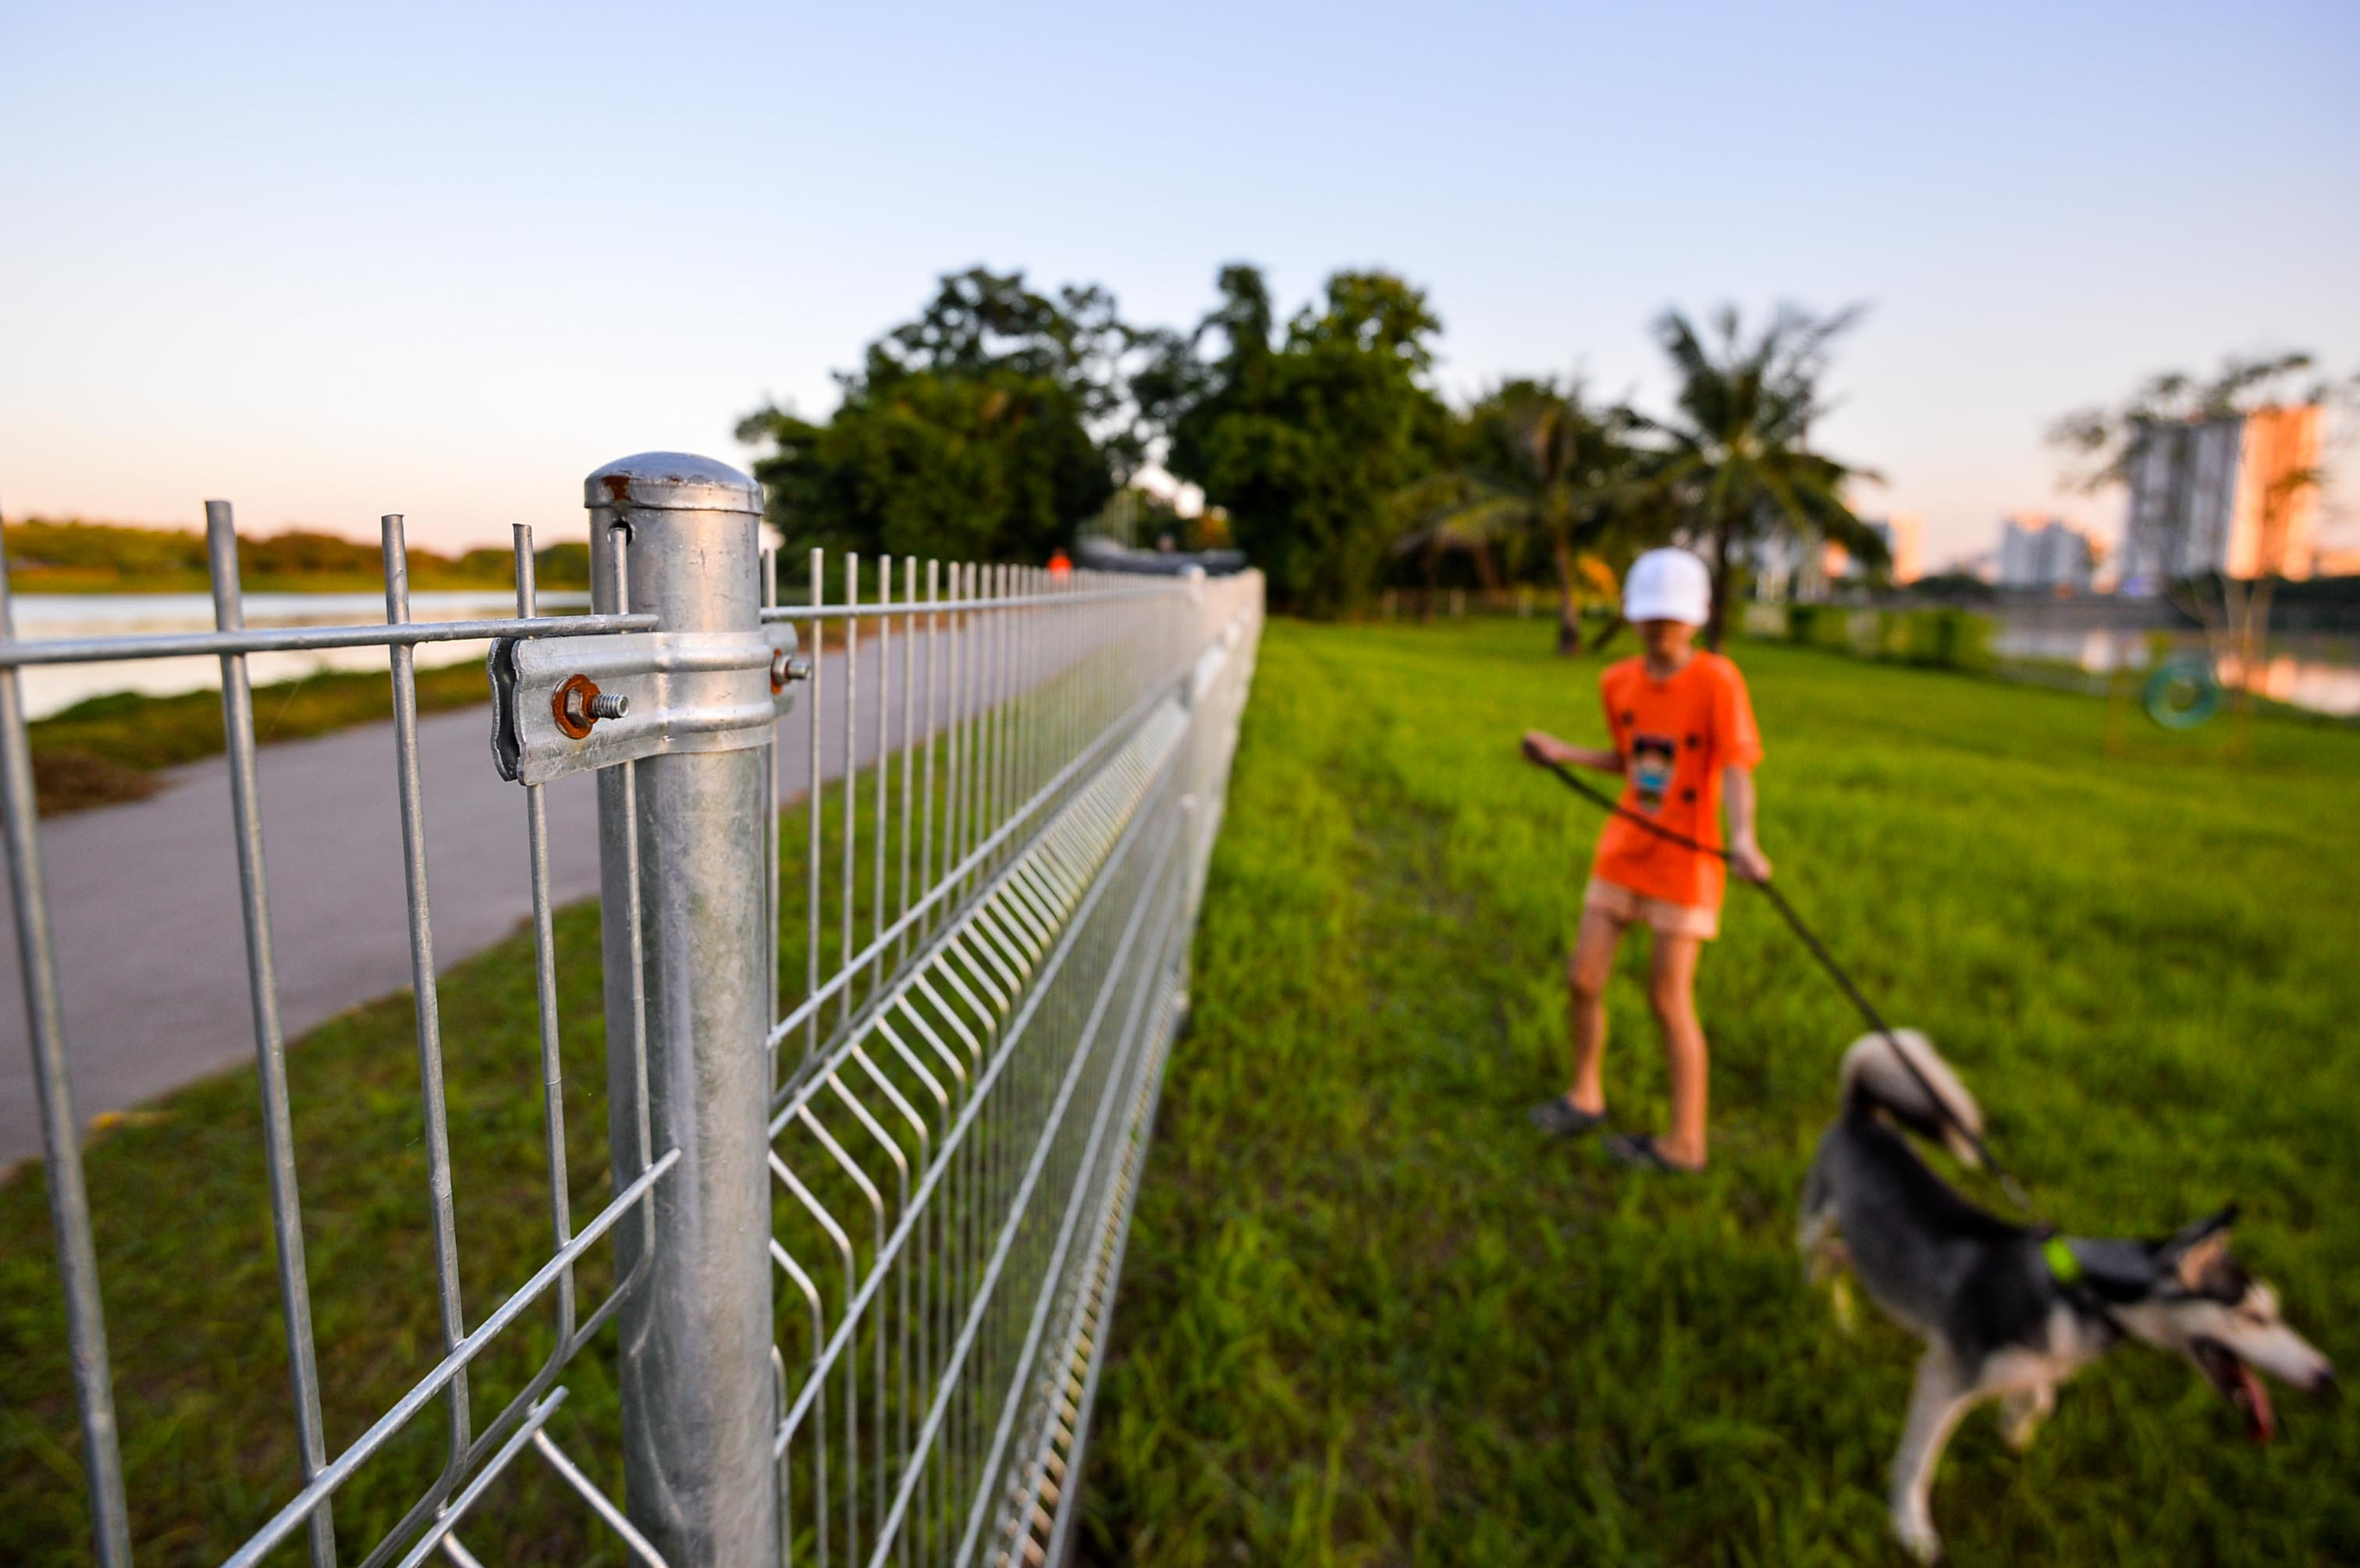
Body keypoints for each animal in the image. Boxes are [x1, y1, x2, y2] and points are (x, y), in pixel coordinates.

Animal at [1793, 1029, 2331, 1558]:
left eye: (2274, 1311)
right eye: (2253, 1316)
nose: (2328, 1377)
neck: (2081, 1294)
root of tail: (1859, 1111)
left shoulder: (2033, 1360)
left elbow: (2042, 1394)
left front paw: (2016, 1425)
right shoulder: (1945, 1379)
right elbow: (1916, 1463)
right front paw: (1911, 1529)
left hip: (1862, 1242)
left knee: (1841, 1259)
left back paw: (1841, 1319)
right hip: (1818, 1221)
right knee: (1816, 1255)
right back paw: (1815, 1304)